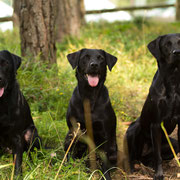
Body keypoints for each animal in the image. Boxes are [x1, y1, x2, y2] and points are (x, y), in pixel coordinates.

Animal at [124, 33, 180, 179]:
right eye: (167, 44)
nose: (177, 52)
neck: (173, 79)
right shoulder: (156, 124)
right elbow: (157, 155)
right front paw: (159, 174)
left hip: (173, 144)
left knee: (148, 158)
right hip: (134, 129)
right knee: (132, 156)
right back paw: (132, 168)